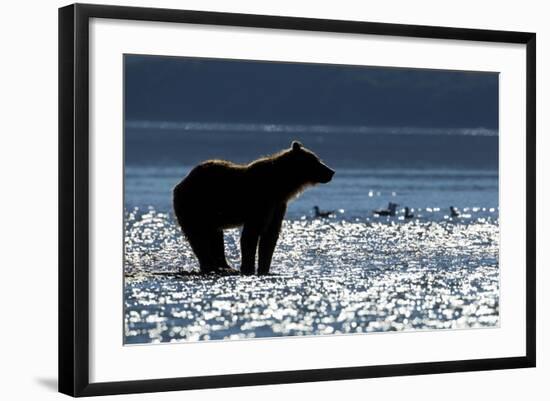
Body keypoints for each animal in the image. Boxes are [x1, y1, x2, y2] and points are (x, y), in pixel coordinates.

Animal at [175, 141, 334, 276]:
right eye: (315, 160)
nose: (331, 171)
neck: (281, 186)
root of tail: (182, 182)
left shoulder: (278, 206)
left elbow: (270, 237)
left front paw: (265, 268)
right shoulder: (260, 203)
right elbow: (251, 235)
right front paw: (248, 268)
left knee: (215, 237)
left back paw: (224, 266)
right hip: (195, 206)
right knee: (199, 237)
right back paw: (211, 266)